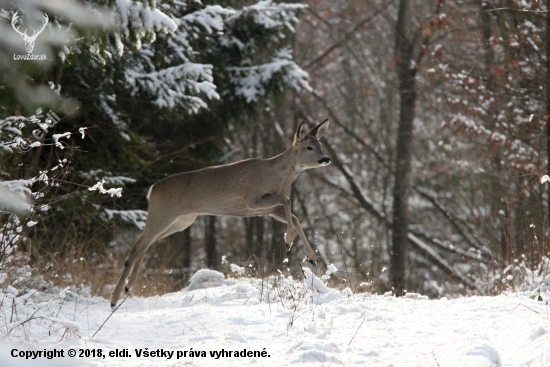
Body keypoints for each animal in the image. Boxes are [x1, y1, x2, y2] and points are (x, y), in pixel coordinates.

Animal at [110, 120, 330, 308]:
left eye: (320, 144)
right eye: (309, 147)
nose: (326, 158)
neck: (277, 178)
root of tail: (152, 190)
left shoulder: (268, 210)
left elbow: (294, 216)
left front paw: (311, 257)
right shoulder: (253, 199)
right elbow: (288, 201)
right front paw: (288, 241)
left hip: (180, 221)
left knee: (144, 246)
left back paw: (128, 287)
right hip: (162, 214)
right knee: (136, 248)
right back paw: (114, 298)